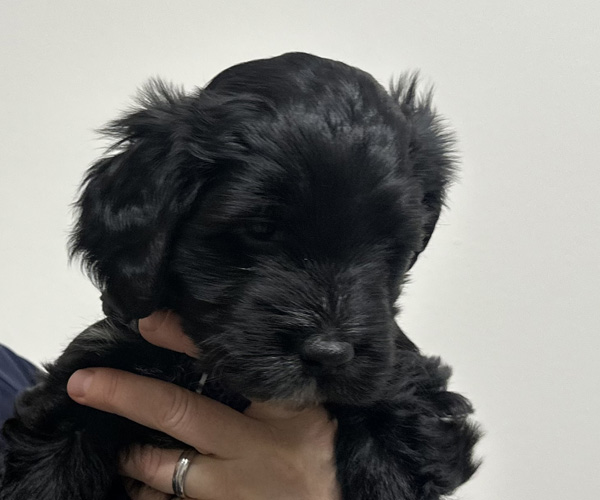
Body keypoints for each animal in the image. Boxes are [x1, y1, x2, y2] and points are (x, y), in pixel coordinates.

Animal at [0, 52, 480, 499]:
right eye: (260, 229)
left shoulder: (405, 387)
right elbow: (48, 471)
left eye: (388, 243)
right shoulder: (83, 384)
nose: (329, 353)